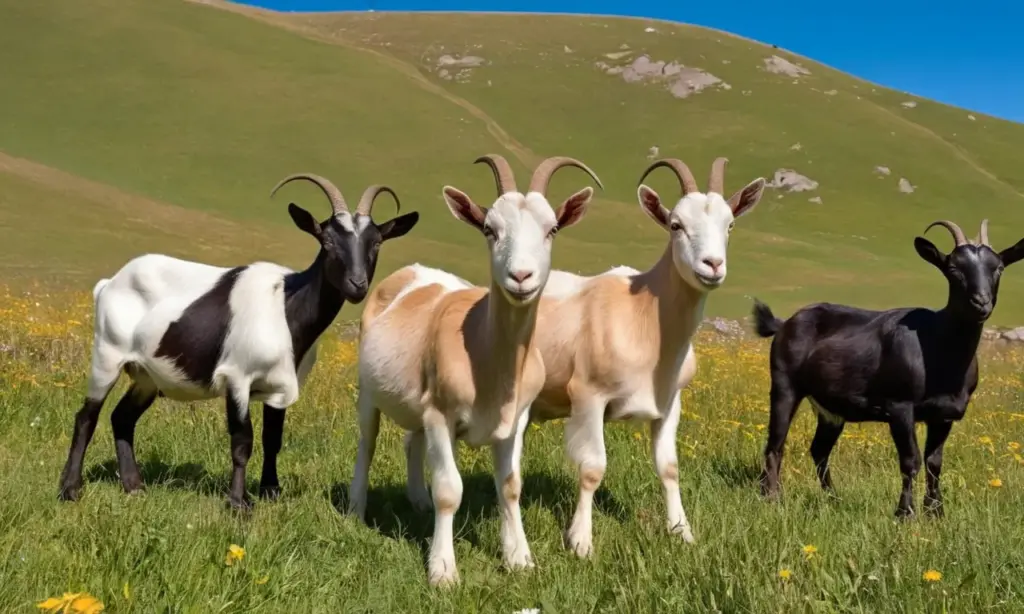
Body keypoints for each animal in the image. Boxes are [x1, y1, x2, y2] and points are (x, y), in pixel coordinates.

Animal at [57, 174, 419, 510]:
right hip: (107, 355)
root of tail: (109, 283)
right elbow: (242, 441)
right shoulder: (237, 377)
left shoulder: (279, 387)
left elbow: (273, 439)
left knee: (122, 417)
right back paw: (70, 490)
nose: (357, 285)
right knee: (86, 417)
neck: (285, 306)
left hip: (147, 375)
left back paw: (133, 486)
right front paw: (238, 503)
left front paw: (271, 492)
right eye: (327, 240)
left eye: (376, 243)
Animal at [350, 154, 601, 587]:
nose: (521, 277)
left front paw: (519, 558)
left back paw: (417, 500)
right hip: (369, 392)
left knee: (411, 441)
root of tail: (408, 272)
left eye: (551, 229)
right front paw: (443, 570)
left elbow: (511, 486)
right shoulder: (440, 416)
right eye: (489, 229)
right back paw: (356, 510)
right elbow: (449, 490)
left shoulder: (516, 420)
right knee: (367, 443)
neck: (486, 355)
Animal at [526, 158, 765, 556]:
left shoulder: (670, 402)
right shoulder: (589, 397)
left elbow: (669, 467)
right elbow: (592, 469)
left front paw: (682, 532)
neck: (643, 317)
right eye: (676, 225)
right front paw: (581, 542)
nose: (712, 265)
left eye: (730, 224)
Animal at [752, 219, 1024, 517]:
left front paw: (936, 513)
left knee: (819, 449)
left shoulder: (944, 415)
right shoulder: (900, 406)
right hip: (784, 386)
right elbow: (910, 460)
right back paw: (772, 497)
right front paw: (905, 513)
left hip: (831, 410)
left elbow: (934, 461)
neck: (939, 350)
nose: (981, 302)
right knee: (775, 443)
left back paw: (832, 498)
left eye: (998, 267)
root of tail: (784, 323)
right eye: (953, 268)